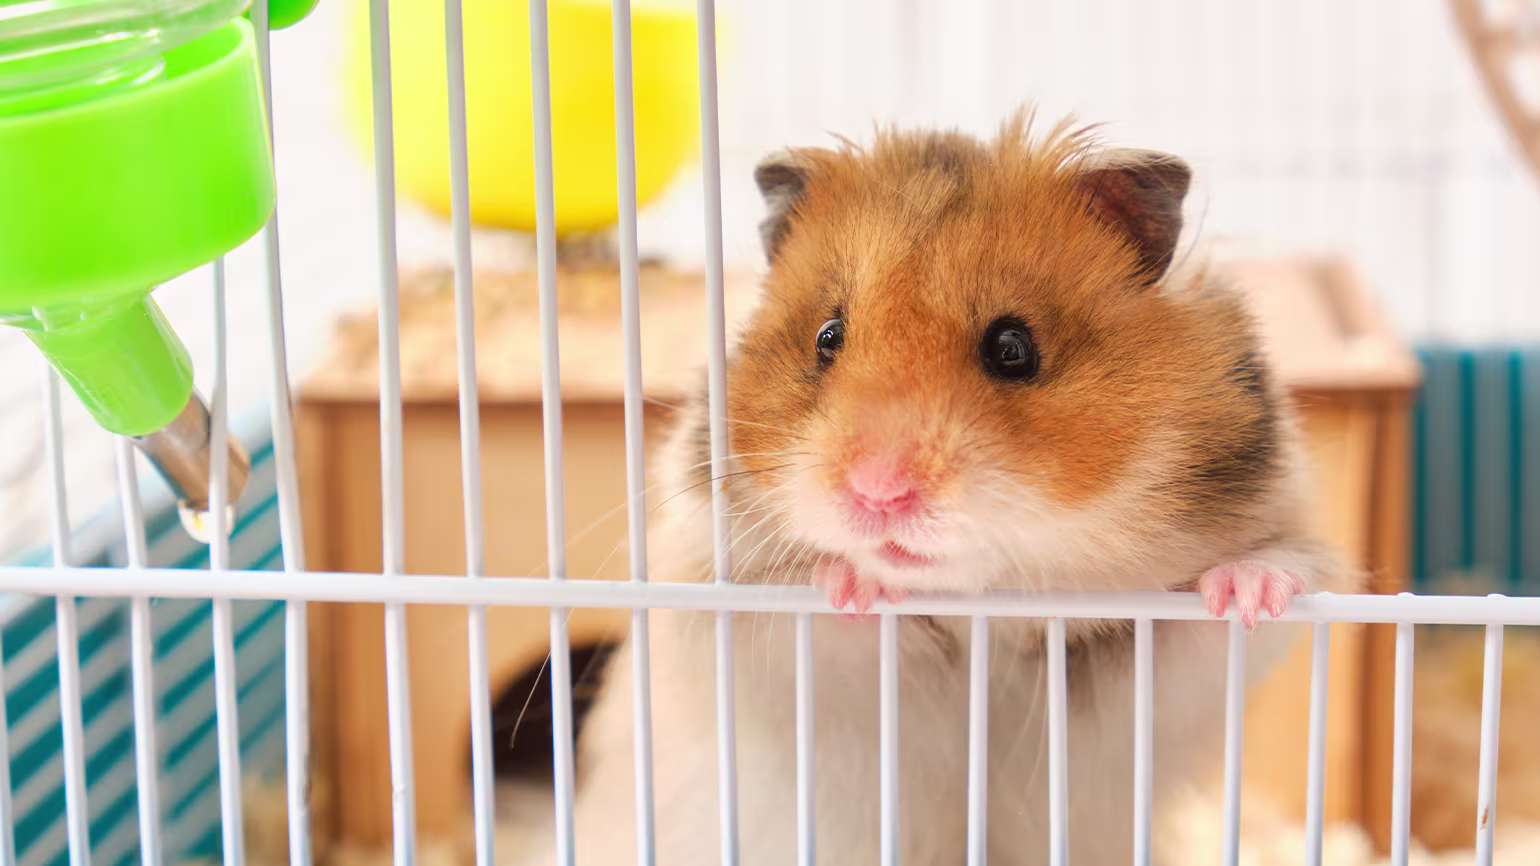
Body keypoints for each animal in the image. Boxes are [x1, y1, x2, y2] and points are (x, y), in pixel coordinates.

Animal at [518, 111, 1358, 866]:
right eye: (827, 337)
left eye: (1013, 347)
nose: (878, 492)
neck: (974, 615)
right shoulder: (733, 617)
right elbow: (821, 623)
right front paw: (853, 582)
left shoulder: (1147, 669)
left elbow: (1222, 608)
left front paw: (1247, 591)